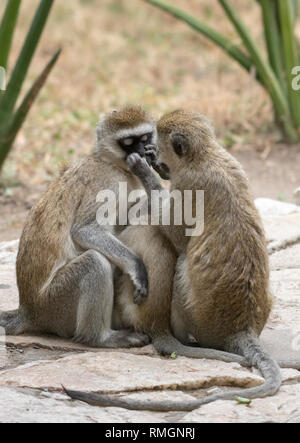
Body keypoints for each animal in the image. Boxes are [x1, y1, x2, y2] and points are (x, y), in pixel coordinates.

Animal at [0, 106, 161, 348]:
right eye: (128, 142)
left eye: (144, 138)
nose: (143, 151)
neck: (111, 163)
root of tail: (29, 311)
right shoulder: (106, 183)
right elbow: (85, 230)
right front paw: (137, 267)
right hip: (56, 304)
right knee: (94, 262)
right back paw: (100, 338)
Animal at [66, 111, 300, 412]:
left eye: (156, 149)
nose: (154, 161)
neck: (205, 155)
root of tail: (241, 328)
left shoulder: (186, 184)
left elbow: (173, 232)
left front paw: (144, 172)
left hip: (197, 318)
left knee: (181, 260)